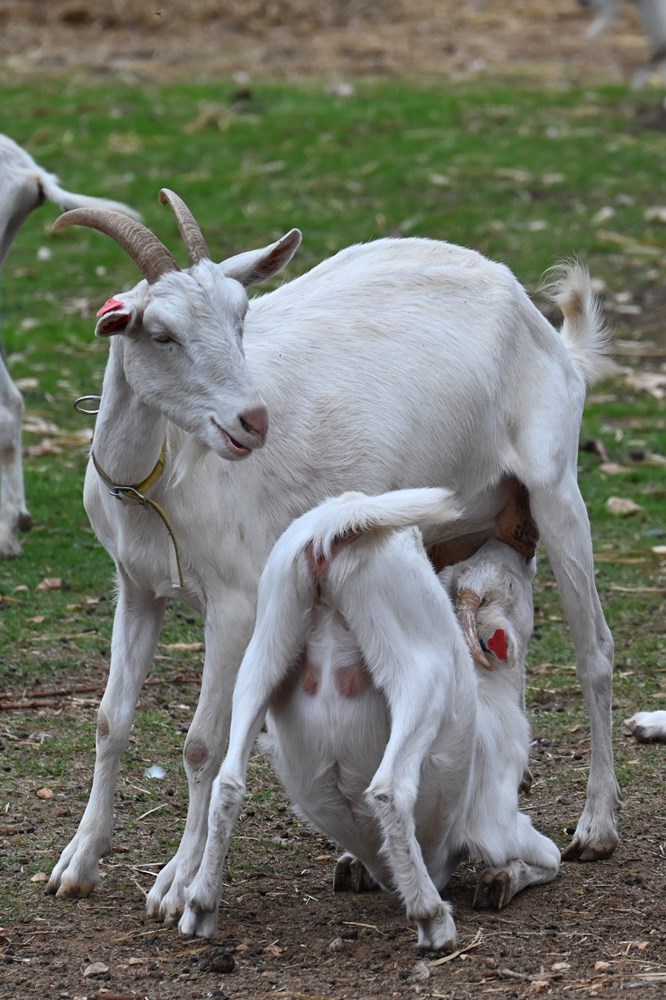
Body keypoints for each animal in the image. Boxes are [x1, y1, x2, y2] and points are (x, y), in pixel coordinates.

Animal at [179, 488, 556, 948]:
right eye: (511, 584)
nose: (528, 542)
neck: (492, 696)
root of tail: (335, 525)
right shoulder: (495, 822)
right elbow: (550, 857)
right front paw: (500, 880)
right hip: (418, 675)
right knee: (390, 789)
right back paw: (433, 920)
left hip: (263, 648)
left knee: (228, 782)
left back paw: (200, 906)